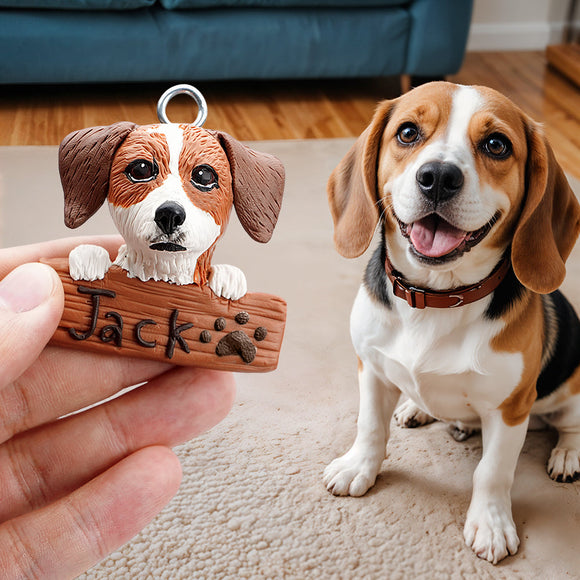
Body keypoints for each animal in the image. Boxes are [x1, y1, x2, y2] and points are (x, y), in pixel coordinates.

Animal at [59, 122, 286, 300]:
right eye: (140, 169)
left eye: (204, 175)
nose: (170, 215)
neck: (165, 271)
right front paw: (89, 259)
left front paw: (227, 279)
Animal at [324, 80, 580, 560]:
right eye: (408, 133)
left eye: (497, 145)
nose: (439, 177)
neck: (436, 298)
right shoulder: (371, 368)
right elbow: (370, 428)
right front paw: (358, 467)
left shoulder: (510, 410)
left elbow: (493, 471)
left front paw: (491, 523)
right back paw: (416, 409)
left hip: (571, 388)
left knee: (569, 423)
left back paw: (567, 455)